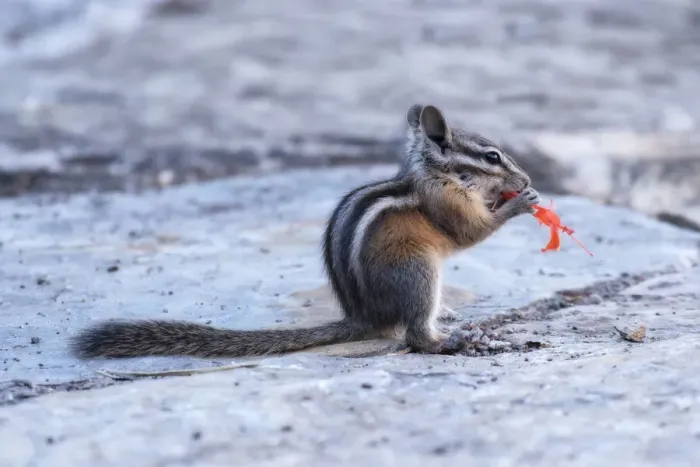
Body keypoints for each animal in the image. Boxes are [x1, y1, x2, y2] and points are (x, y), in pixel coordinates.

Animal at [70, 104, 539, 360]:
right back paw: (449, 340)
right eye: (492, 156)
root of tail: (365, 318)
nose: (526, 176)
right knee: (416, 335)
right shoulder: (445, 203)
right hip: (417, 270)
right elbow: (470, 231)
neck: (436, 174)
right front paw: (520, 202)